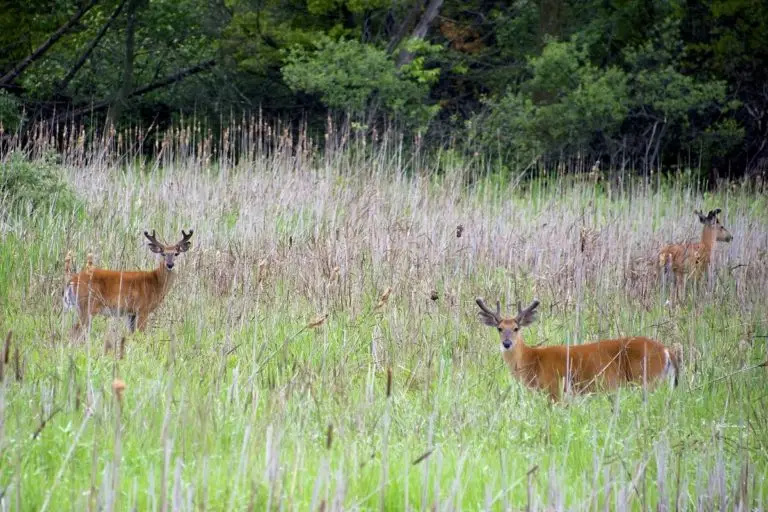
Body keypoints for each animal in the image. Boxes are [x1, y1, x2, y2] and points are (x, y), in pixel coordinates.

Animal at [63, 230, 193, 335]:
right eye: (163, 253)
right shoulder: (143, 309)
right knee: (74, 330)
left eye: (176, 253)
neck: (156, 283)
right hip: (88, 305)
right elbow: (141, 334)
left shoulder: (131, 313)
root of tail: (71, 280)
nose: (170, 265)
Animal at [476, 298, 679, 402]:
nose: (507, 343)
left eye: (516, 328)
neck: (533, 360)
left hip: (646, 379)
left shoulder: (554, 390)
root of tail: (666, 350)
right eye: (499, 328)